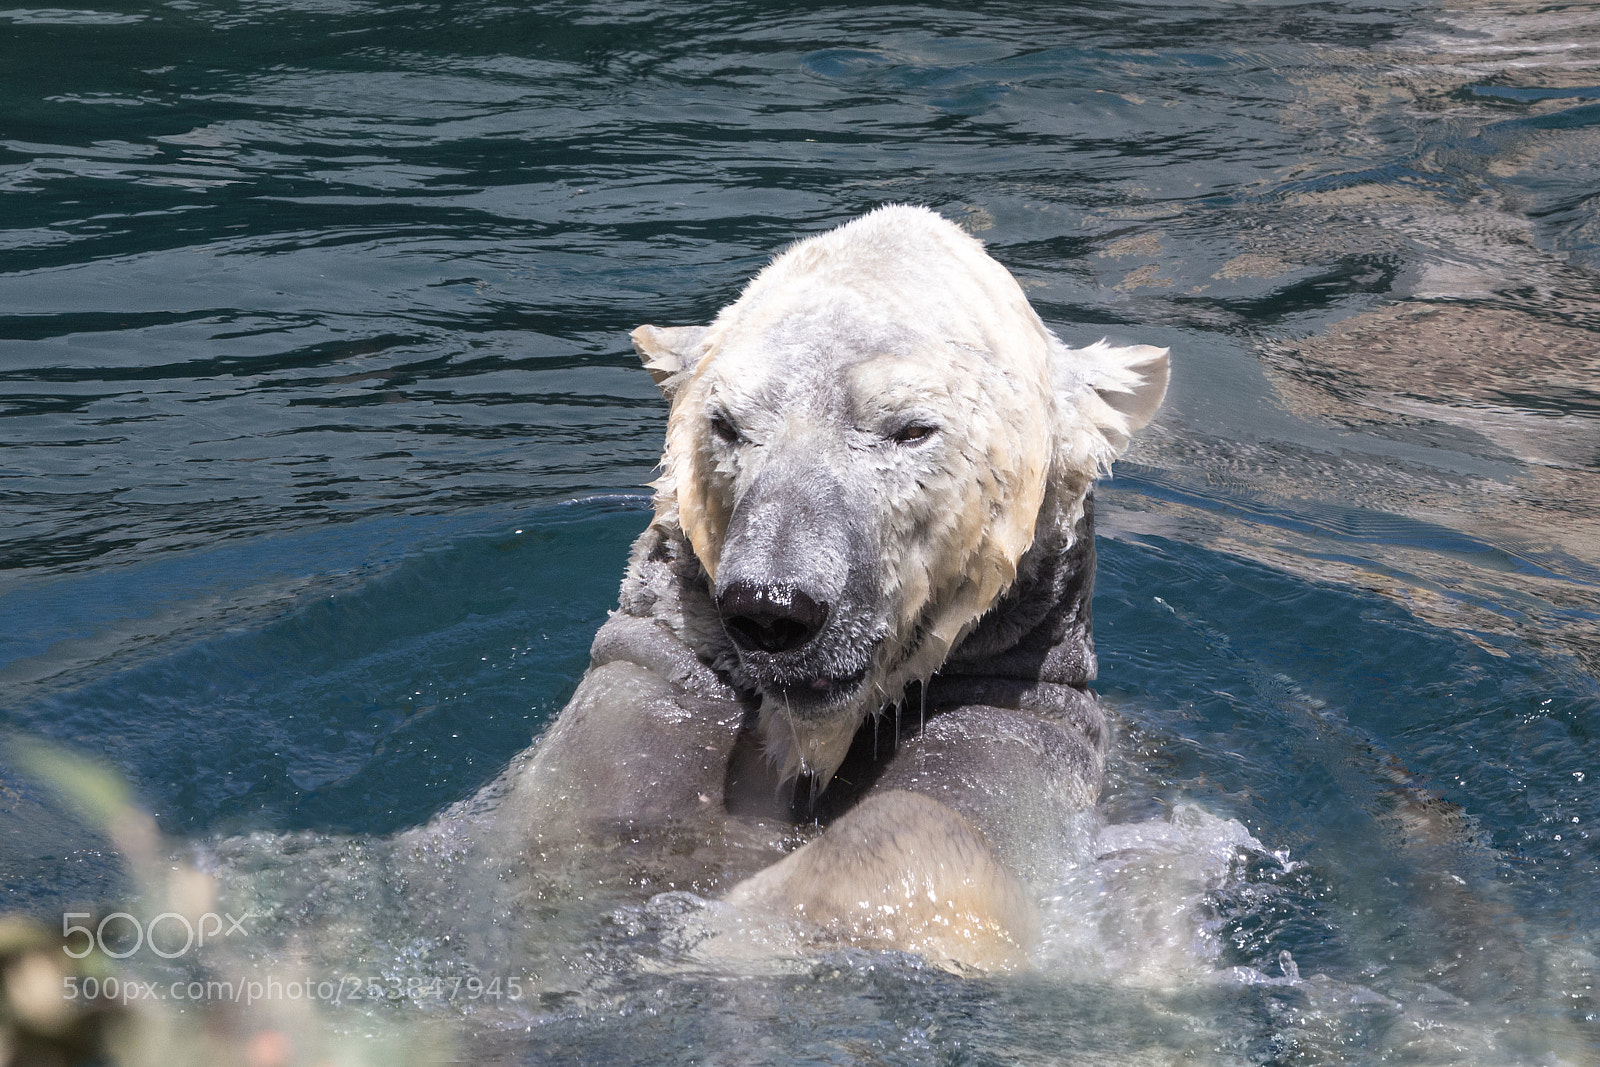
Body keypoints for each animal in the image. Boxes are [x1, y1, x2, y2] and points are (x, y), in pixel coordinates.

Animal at [507, 205, 1168, 971]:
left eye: (911, 429)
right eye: (725, 424)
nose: (772, 608)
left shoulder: (1016, 732)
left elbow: (920, 831)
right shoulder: (658, 691)